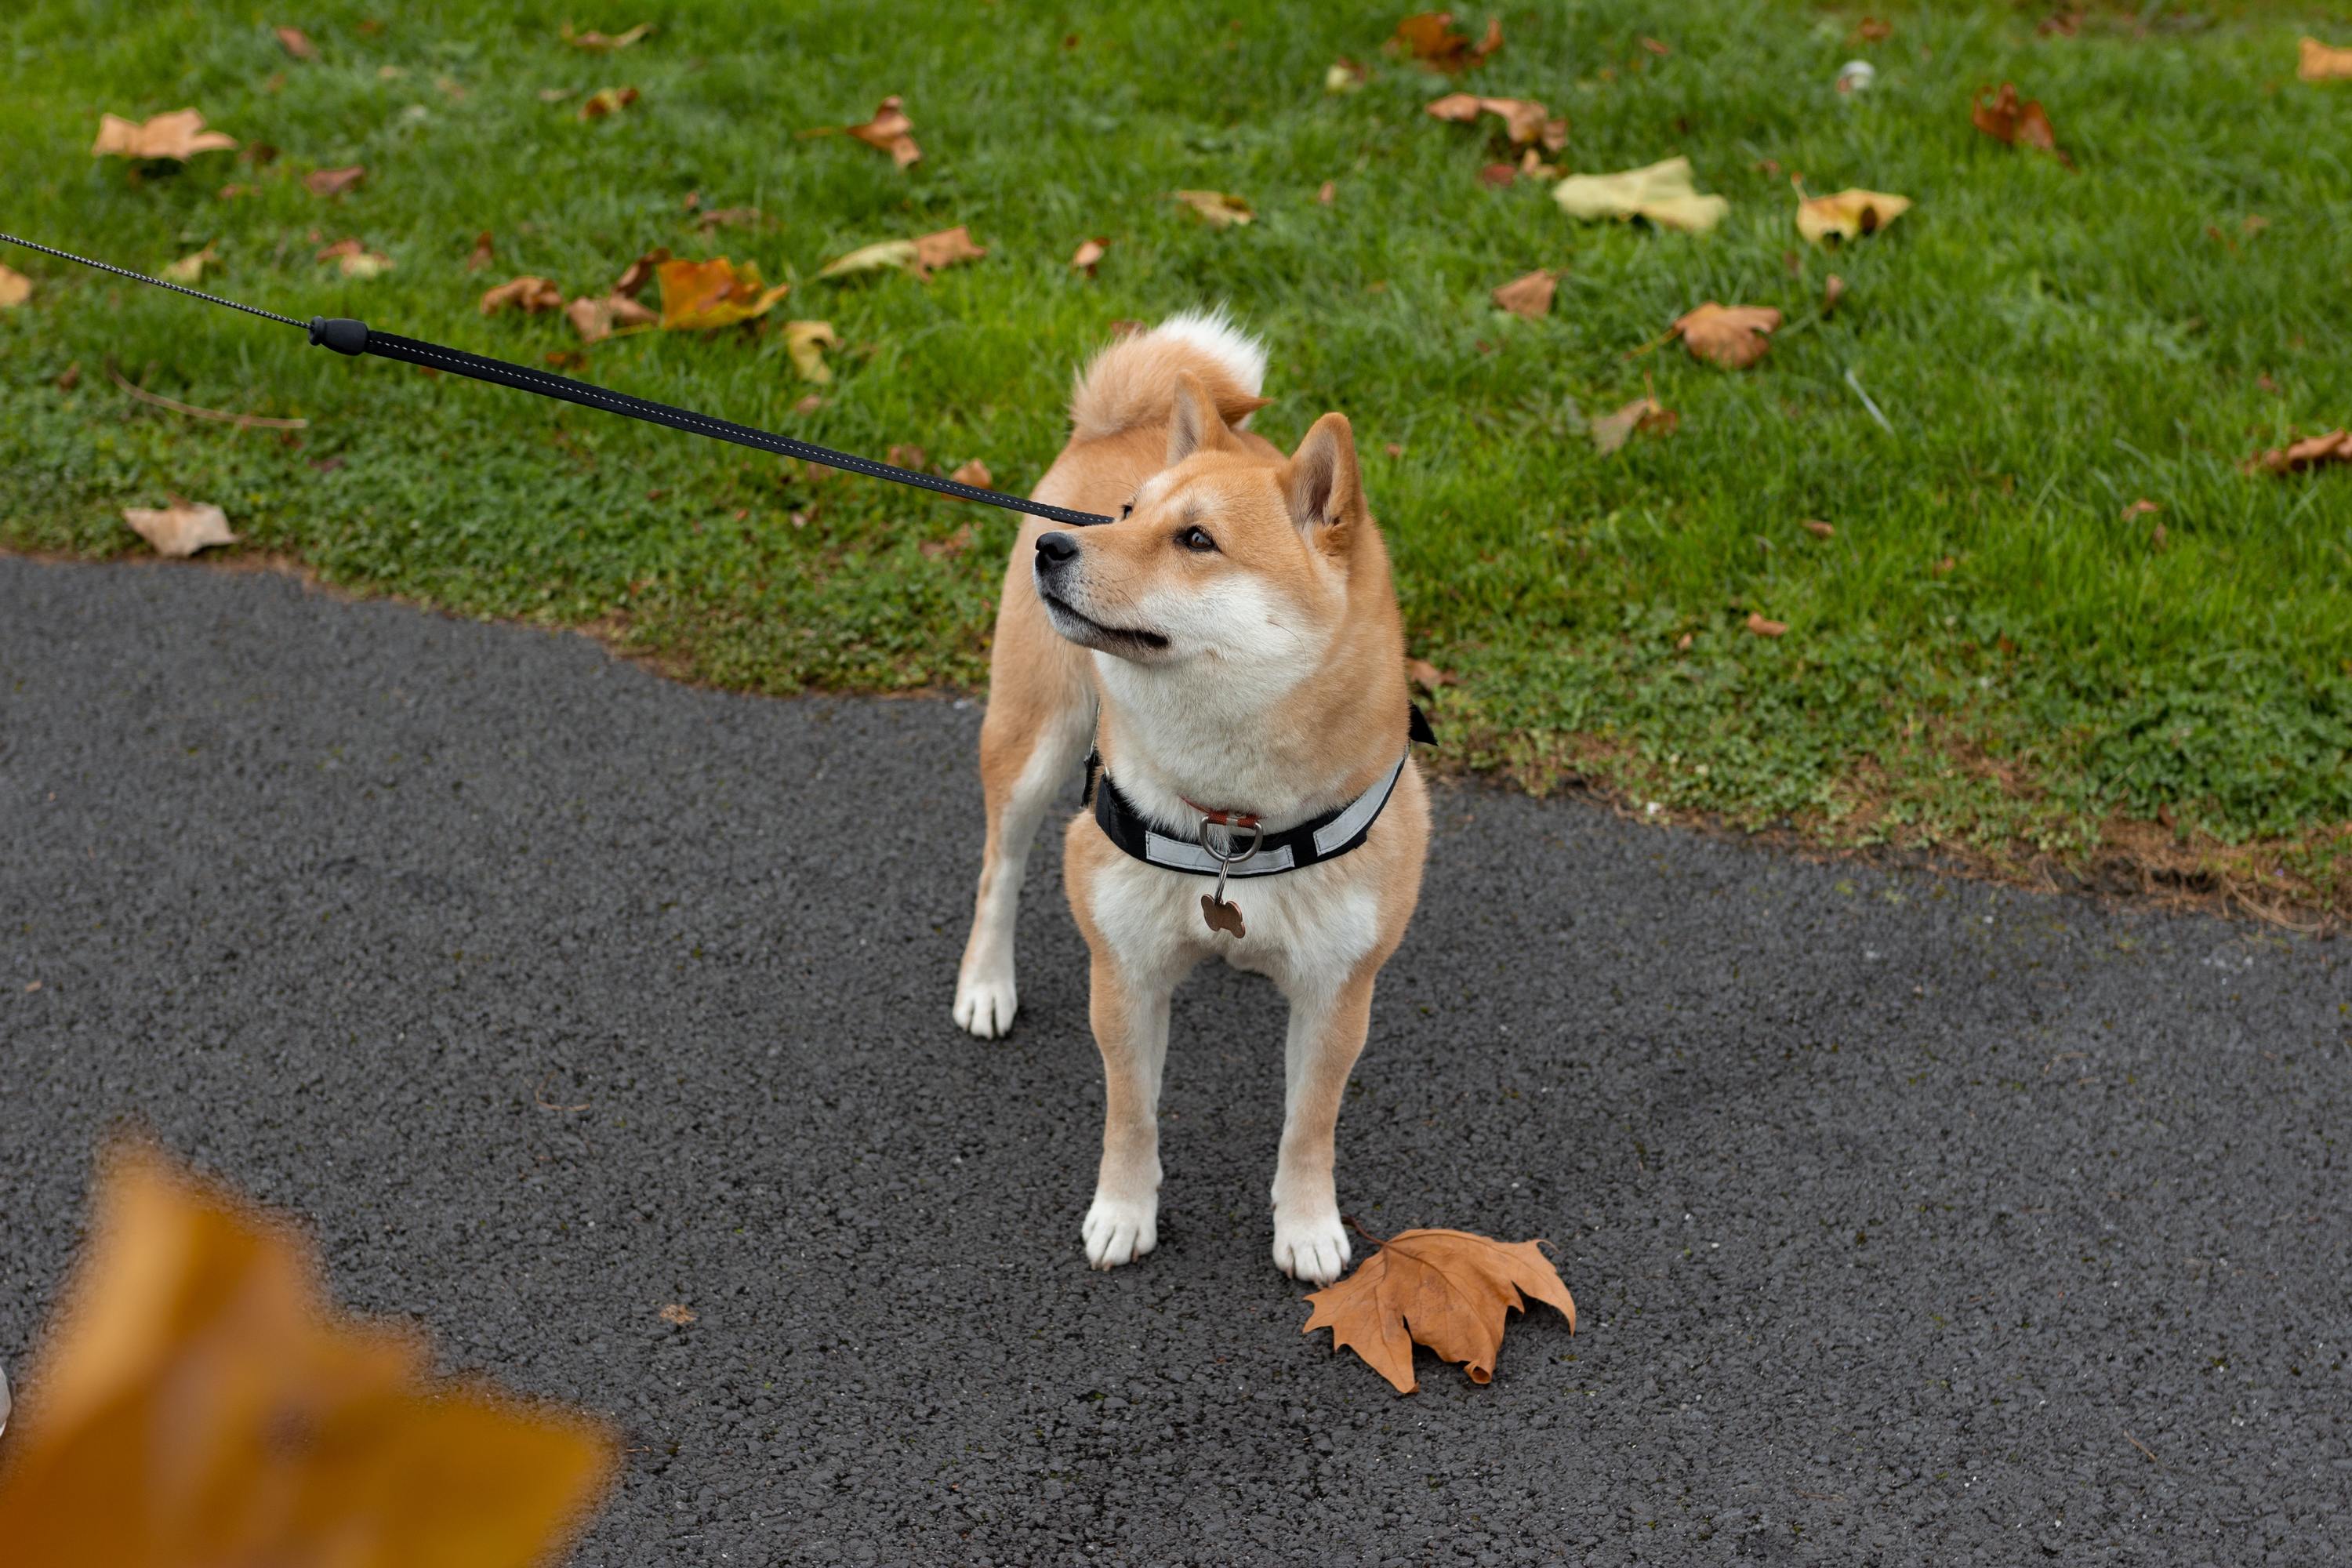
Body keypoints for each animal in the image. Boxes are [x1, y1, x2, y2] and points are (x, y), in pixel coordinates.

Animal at [946, 310, 1421, 1288]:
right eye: (1130, 514)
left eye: (1196, 539)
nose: (1057, 546)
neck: (1232, 825)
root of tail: (1113, 424)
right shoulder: (1124, 969)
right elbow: (1132, 1112)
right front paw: (1123, 1214)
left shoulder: (1338, 991)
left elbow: (1309, 1124)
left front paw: (1307, 1227)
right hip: (1036, 737)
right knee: (998, 867)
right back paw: (986, 984)